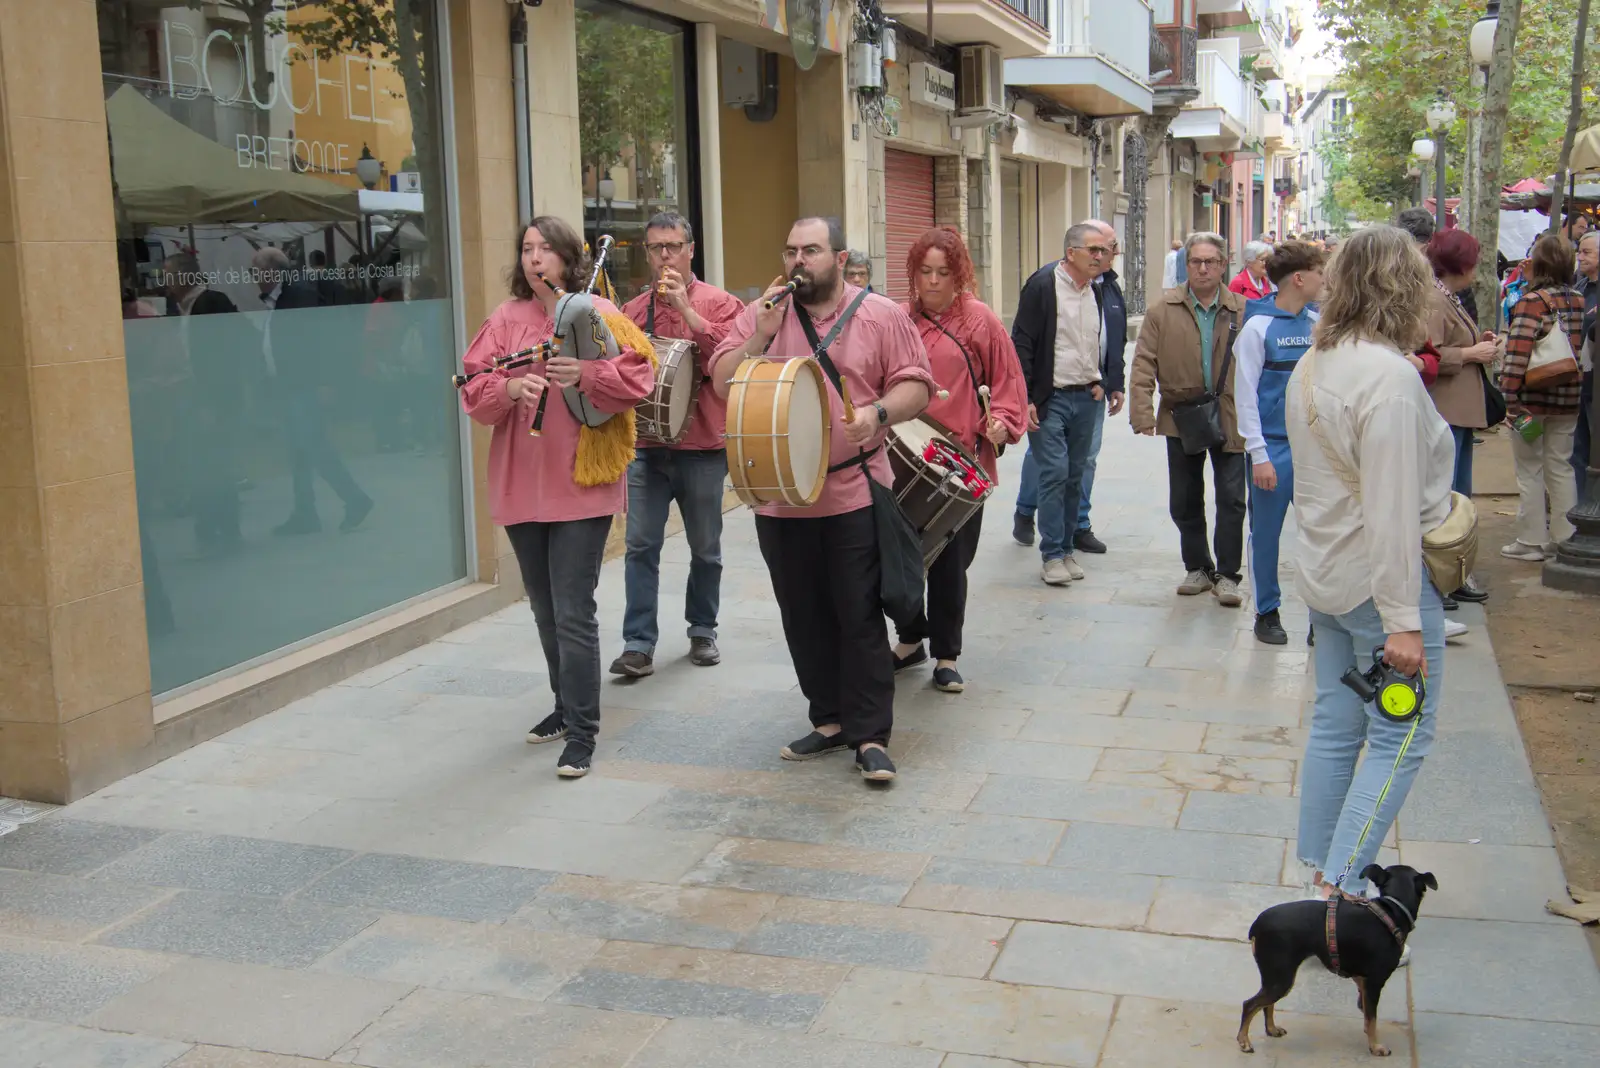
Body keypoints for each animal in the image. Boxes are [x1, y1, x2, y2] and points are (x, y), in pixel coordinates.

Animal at [1235, 863, 1440, 1055]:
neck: (1392, 910)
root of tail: (1256, 925)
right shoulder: (1374, 982)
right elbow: (1372, 1018)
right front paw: (1375, 1047)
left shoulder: (1362, 980)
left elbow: (1366, 1013)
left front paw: (1368, 1033)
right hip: (1281, 978)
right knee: (1250, 1005)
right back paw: (1244, 1041)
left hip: (1276, 978)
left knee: (1266, 1004)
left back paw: (1271, 1029)